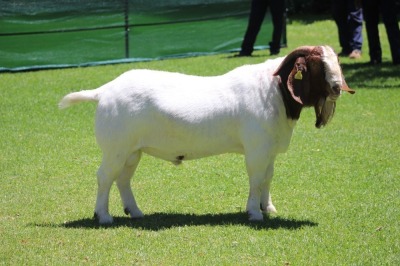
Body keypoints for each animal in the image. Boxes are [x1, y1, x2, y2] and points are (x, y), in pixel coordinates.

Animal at [58, 45, 354, 224]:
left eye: (336, 61)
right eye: (316, 65)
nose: (337, 88)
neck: (275, 91)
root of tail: (103, 92)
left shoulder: (268, 149)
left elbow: (268, 178)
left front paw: (268, 208)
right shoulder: (256, 150)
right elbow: (256, 179)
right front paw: (254, 213)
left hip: (132, 150)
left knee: (123, 179)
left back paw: (136, 212)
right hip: (115, 147)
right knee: (104, 177)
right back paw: (104, 216)